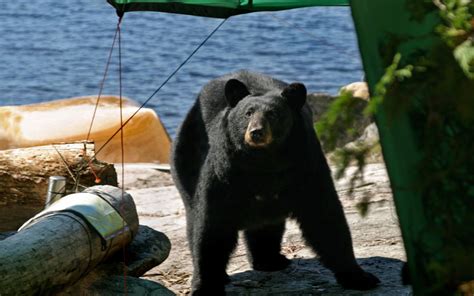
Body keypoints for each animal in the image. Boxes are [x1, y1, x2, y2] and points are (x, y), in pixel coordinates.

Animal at [170, 70, 382, 294]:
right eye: (248, 113)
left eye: (273, 113)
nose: (256, 132)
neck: (264, 160)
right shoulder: (225, 170)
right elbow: (213, 223)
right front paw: (205, 286)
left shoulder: (305, 164)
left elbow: (323, 214)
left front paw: (360, 277)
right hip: (188, 153)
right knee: (194, 214)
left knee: (267, 225)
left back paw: (270, 260)